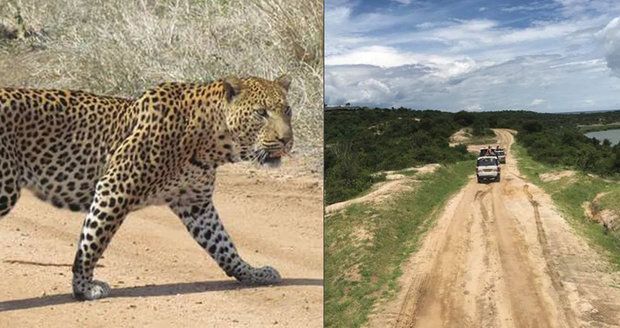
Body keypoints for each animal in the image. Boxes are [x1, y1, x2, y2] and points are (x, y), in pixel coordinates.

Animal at [0, 75, 294, 300]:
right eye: (261, 113)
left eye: (287, 110)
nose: (287, 140)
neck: (212, 139)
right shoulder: (114, 188)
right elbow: (92, 243)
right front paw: (83, 288)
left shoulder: (196, 204)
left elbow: (223, 245)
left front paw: (252, 273)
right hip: (5, 189)